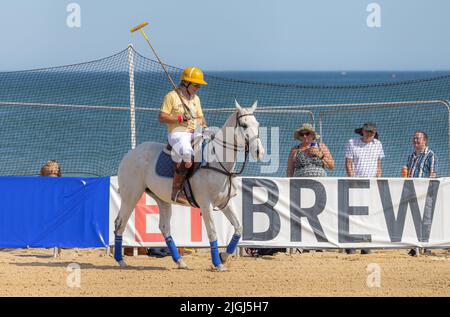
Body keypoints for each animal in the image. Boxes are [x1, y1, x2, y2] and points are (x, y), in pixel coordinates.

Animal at [114, 100, 266, 270]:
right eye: (244, 125)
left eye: (257, 124)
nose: (260, 152)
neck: (218, 161)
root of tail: (129, 154)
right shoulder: (206, 205)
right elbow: (213, 233)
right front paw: (218, 263)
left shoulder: (225, 203)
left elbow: (239, 229)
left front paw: (224, 256)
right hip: (131, 196)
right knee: (120, 223)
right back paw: (120, 261)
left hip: (162, 199)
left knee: (164, 228)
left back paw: (180, 261)